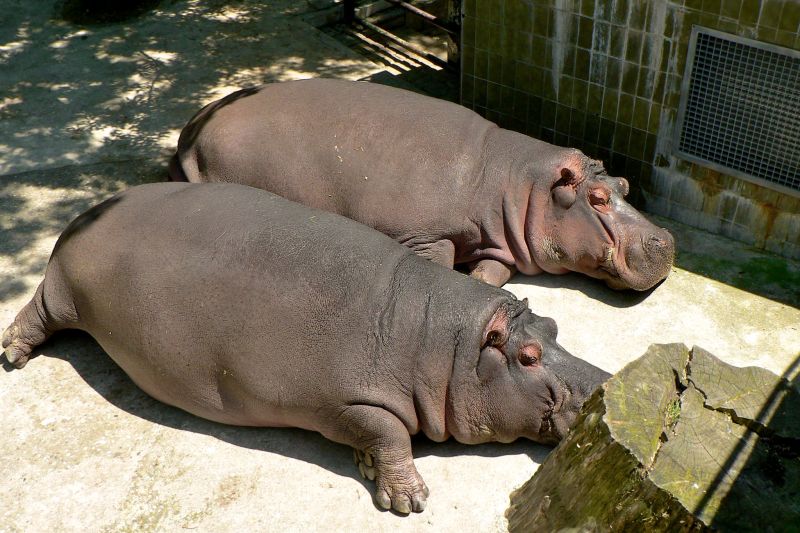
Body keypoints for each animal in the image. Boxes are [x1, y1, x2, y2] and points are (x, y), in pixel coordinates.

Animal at [3, 182, 608, 512]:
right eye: (527, 358)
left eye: (555, 326)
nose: (603, 382)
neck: (446, 344)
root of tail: (82, 215)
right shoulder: (343, 402)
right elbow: (389, 432)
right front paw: (408, 500)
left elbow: (380, 440)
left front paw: (371, 470)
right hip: (63, 295)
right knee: (36, 310)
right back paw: (13, 355)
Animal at [170, 77, 676, 288]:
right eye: (598, 198)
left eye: (625, 185)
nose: (666, 240)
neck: (520, 184)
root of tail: (192, 126)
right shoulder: (422, 235)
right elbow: (445, 259)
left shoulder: (502, 245)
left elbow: (493, 272)